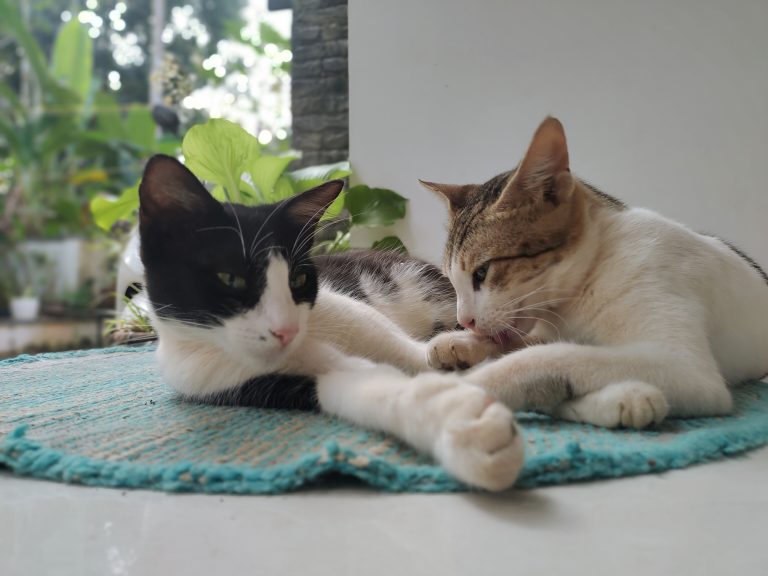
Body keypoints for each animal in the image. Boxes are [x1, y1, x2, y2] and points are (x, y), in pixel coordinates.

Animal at [136, 154, 520, 490]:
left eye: (298, 280)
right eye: (231, 279)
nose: (287, 330)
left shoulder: (346, 309)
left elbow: (396, 344)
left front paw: (467, 358)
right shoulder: (233, 379)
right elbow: (350, 385)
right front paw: (461, 423)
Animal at [426, 116, 768, 428]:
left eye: (482, 272)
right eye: (452, 281)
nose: (465, 321)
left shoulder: (682, 365)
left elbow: (552, 356)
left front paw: (461, 386)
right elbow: (531, 345)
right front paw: (462, 343)